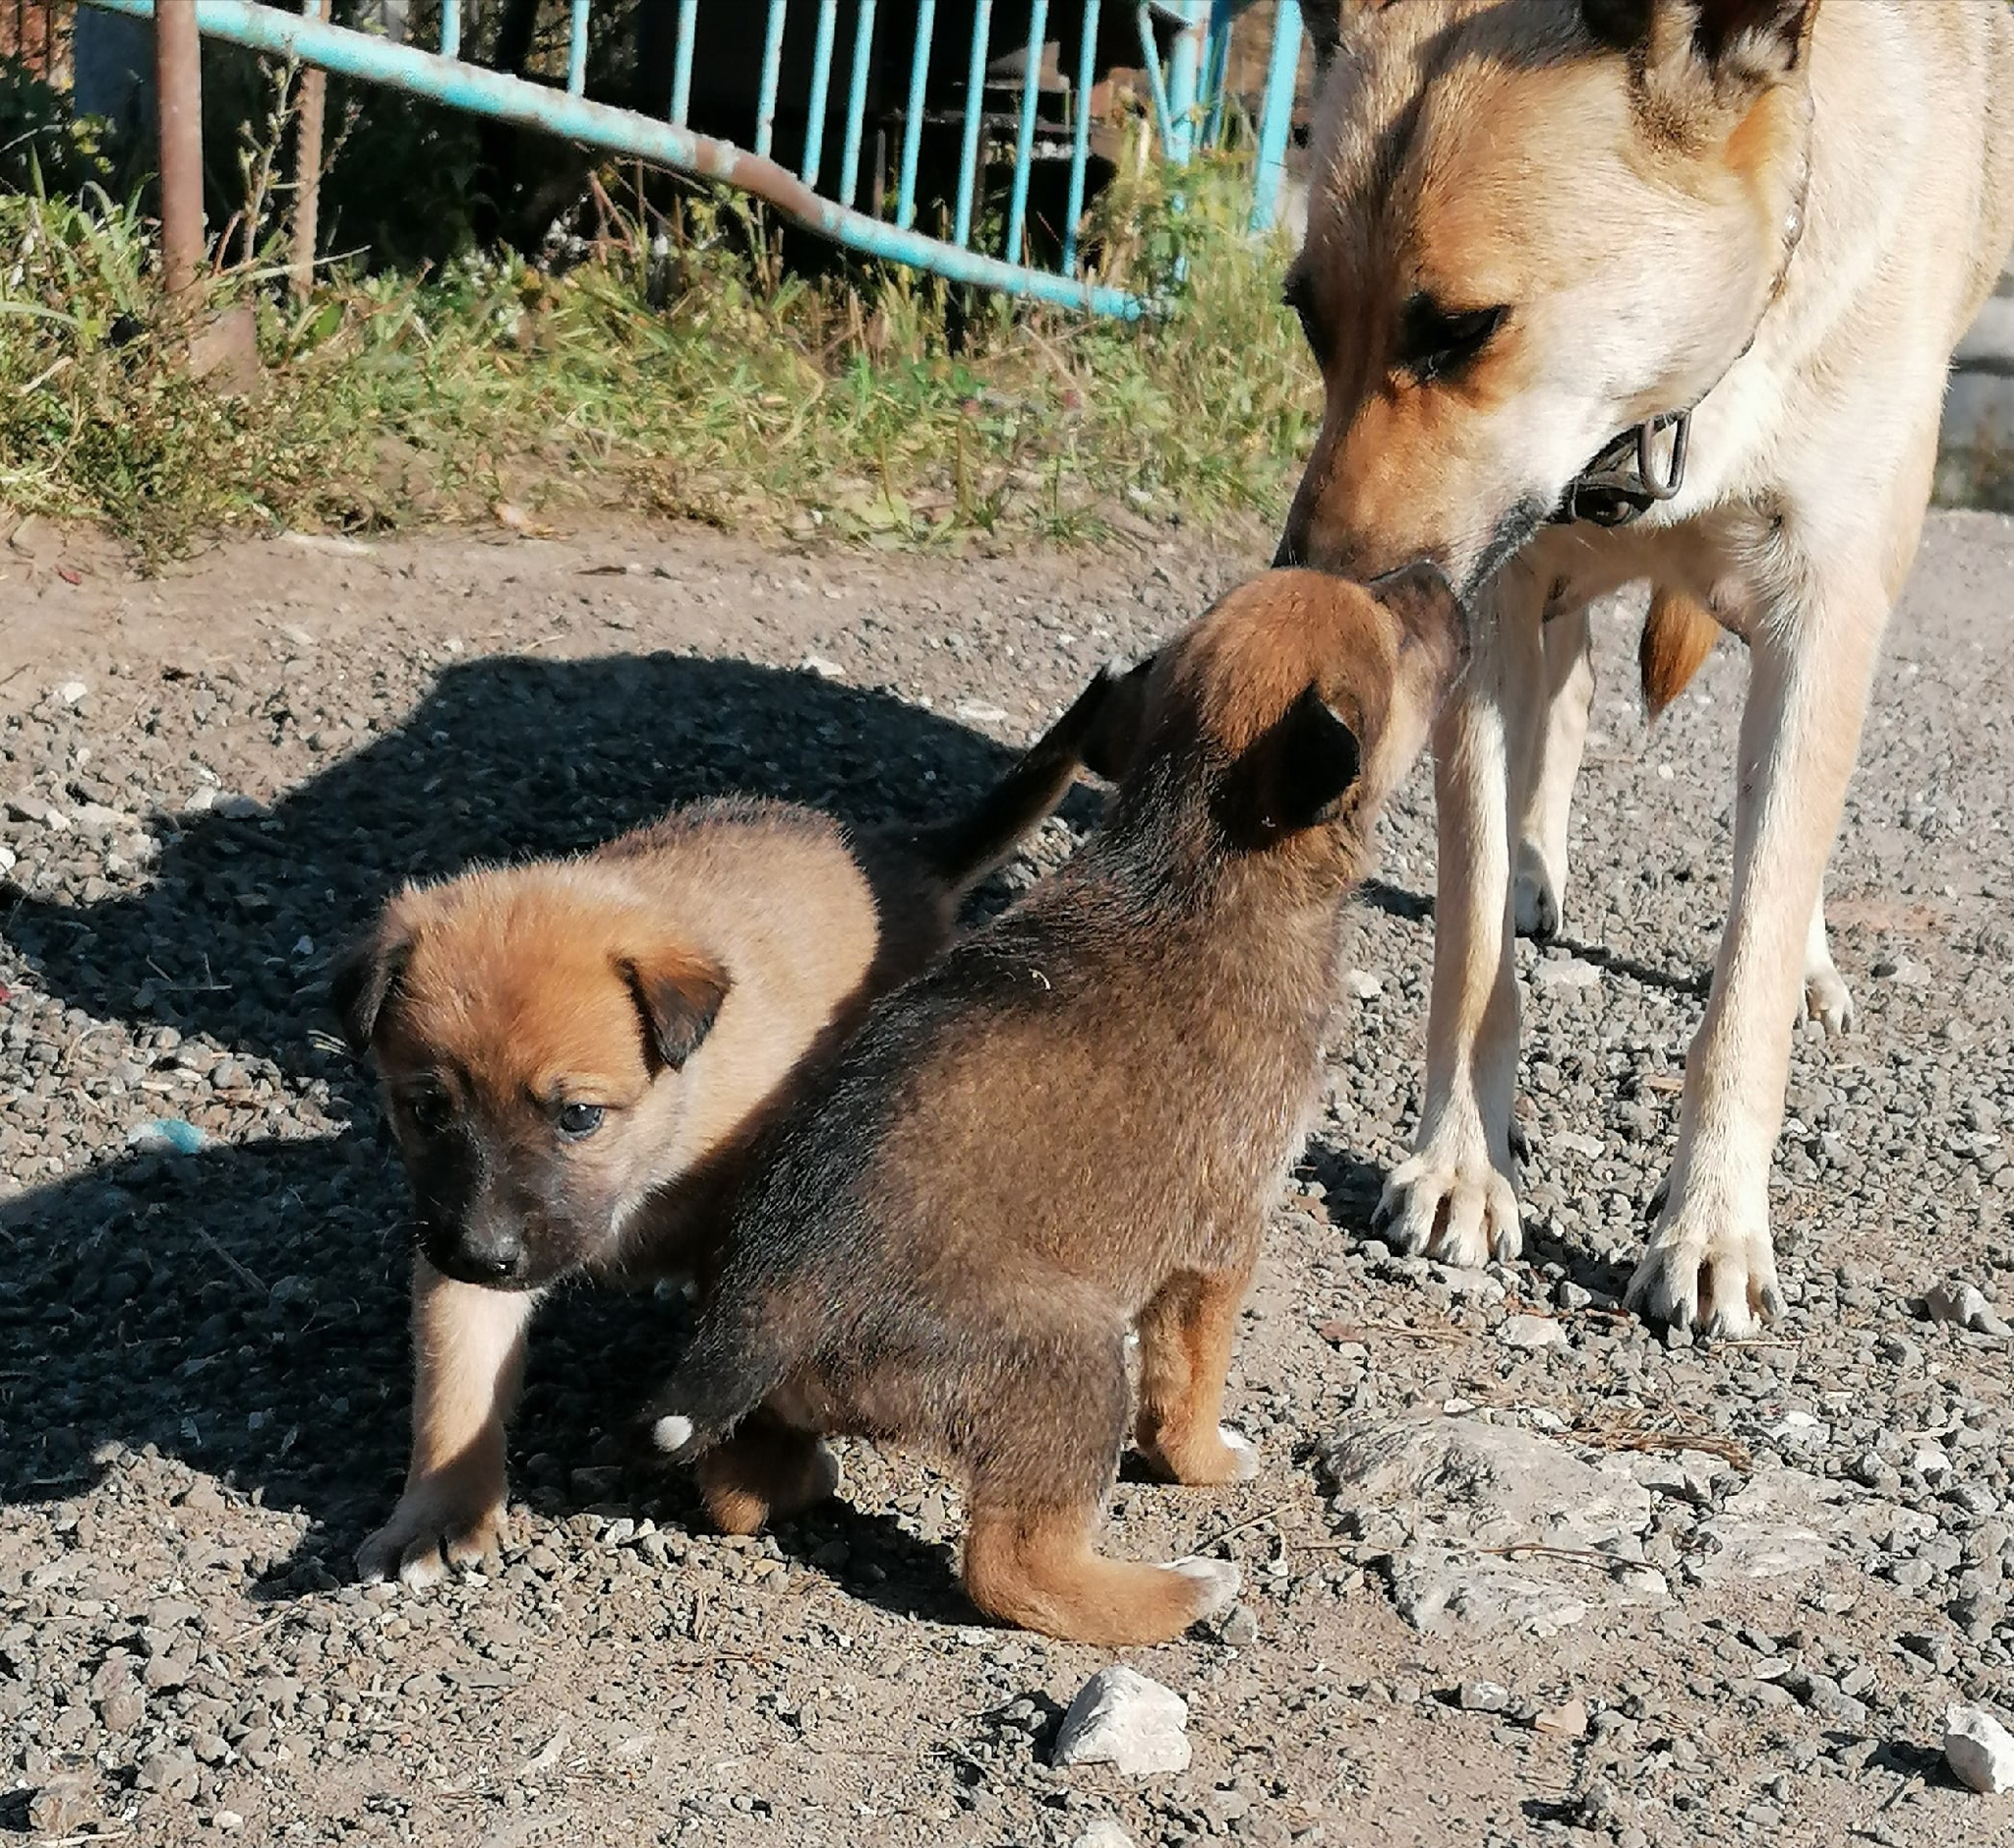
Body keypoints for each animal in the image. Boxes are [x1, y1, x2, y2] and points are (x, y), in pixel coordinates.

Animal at [333, 677, 1119, 1587]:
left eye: (578, 1115)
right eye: (426, 1109)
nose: (483, 1255)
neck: (654, 1152)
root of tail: (902, 858)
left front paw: (752, 1474)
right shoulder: (456, 1233)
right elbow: (457, 1384)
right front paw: (437, 1512)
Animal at [644, 564, 1465, 1644]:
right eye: (1395, 636)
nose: (1439, 577)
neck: (1194, 853)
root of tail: (770, 1296)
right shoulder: (1218, 1248)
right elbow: (1189, 1383)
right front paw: (1206, 1463)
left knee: (736, 1485)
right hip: (1072, 1363)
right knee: (1011, 1566)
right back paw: (1175, 1589)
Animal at [1273, 0, 2014, 1330]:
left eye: (1460, 329)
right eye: (1308, 316)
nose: (1309, 605)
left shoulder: (1821, 617)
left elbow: (1749, 966)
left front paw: (1712, 1223)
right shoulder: (1490, 589)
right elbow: (1469, 940)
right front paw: (1461, 1161)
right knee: (1559, 704)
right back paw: (1533, 866)